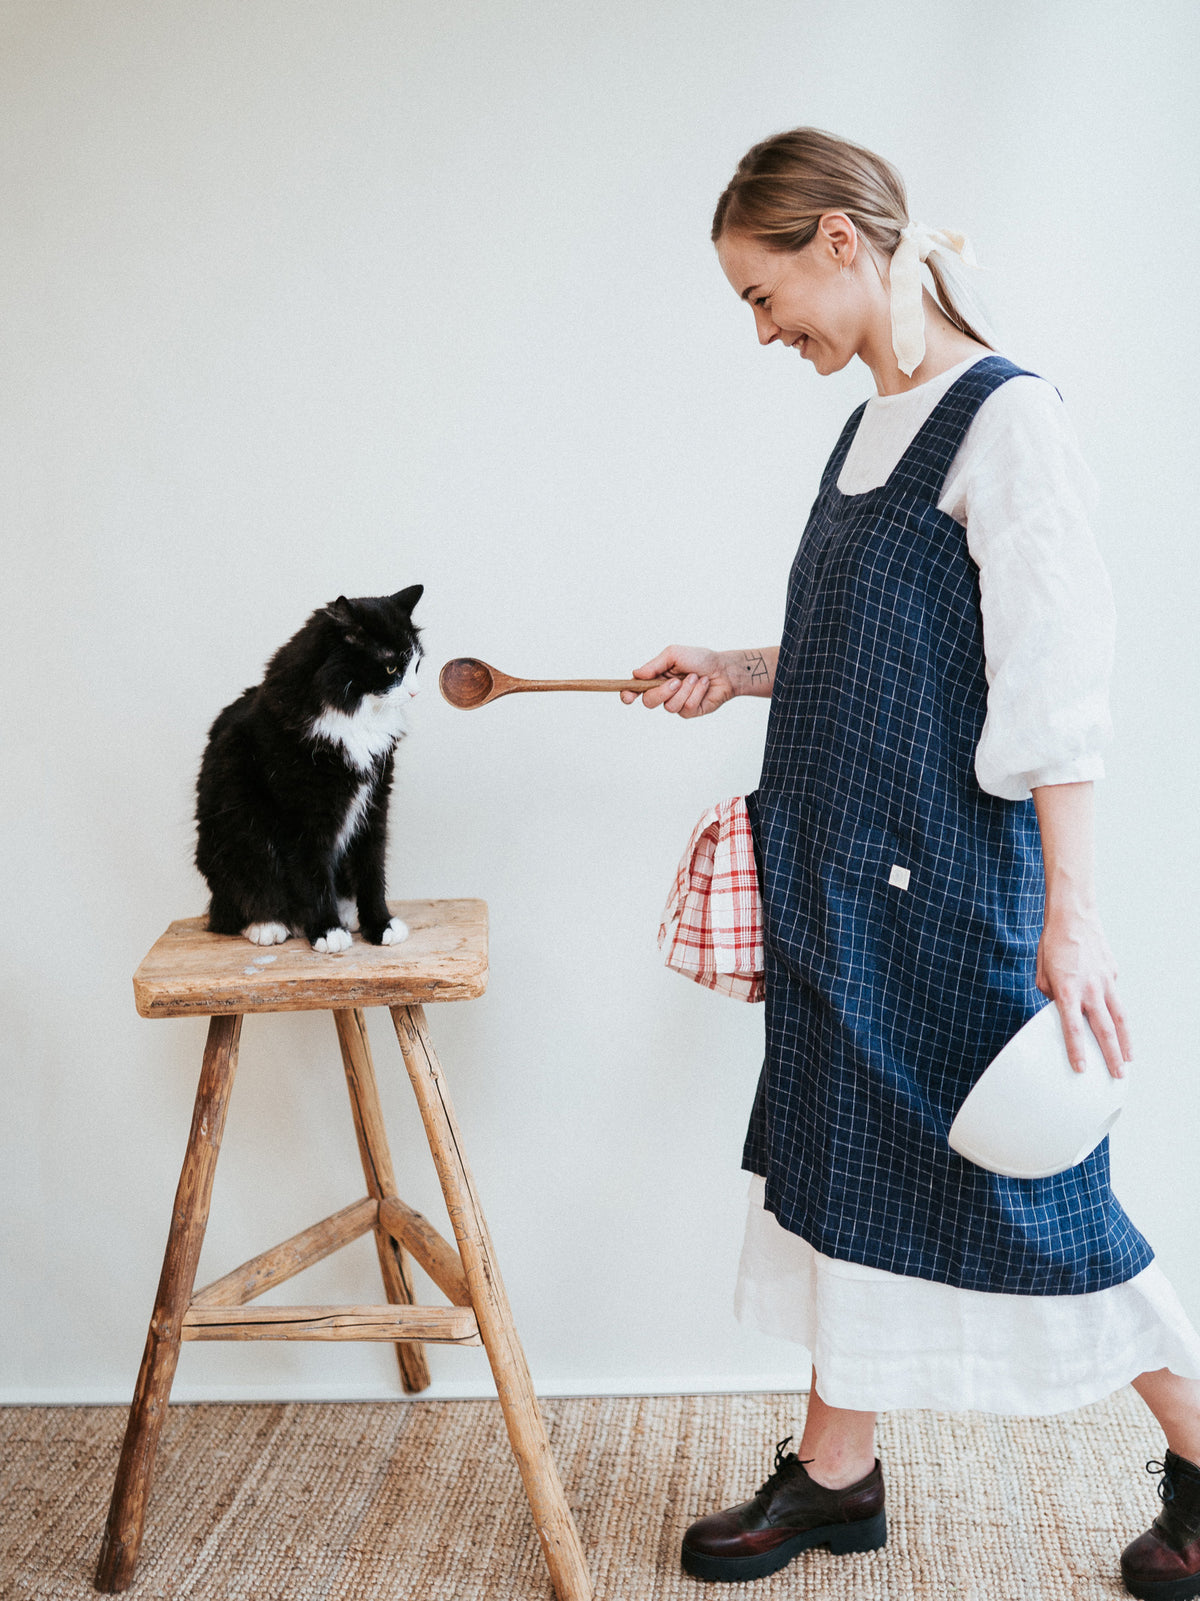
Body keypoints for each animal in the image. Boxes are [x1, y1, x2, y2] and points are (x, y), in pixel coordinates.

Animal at [195, 589, 425, 947]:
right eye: (390, 668)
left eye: (416, 665)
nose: (415, 691)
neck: (352, 717)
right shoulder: (302, 813)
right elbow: (313, 876)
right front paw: (327, 931)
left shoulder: (374, 803)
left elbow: (372, 870)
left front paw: (379, 925)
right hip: (236, 839)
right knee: (235, 907)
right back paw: (269, 925)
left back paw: (345, 914)